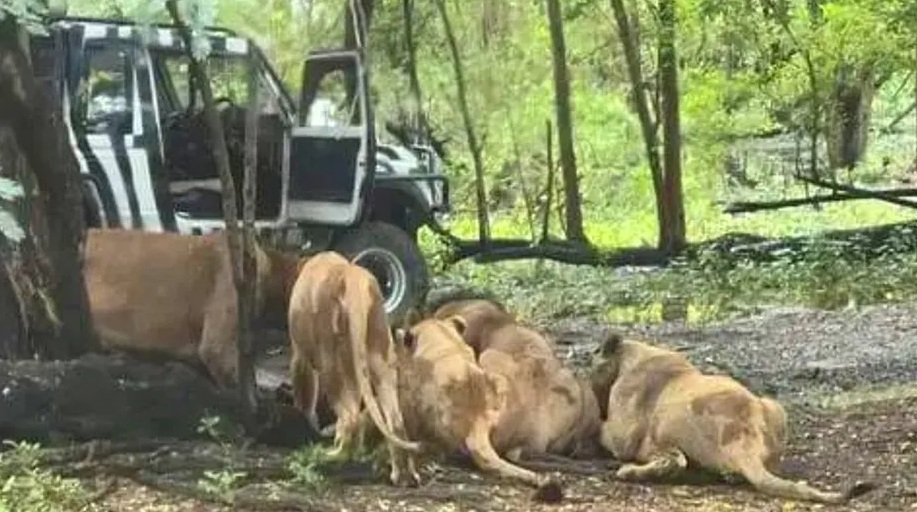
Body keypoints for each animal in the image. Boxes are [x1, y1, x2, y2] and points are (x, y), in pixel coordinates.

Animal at [286, 251, 421, 486]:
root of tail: (352, 277)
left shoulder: (300, 352)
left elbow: (305, 387)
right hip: (377, 342)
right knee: (394, 418)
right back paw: (401, 474)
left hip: (331, 354)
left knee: (350, 416)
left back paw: (333, 456)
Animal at [590, 333, 875, 504]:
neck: (633, 355)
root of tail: (746, 437)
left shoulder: (621, 436)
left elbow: (602, 430)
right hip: (773, 407)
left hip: (672, 422)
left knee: (675, 462)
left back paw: (628, 472)